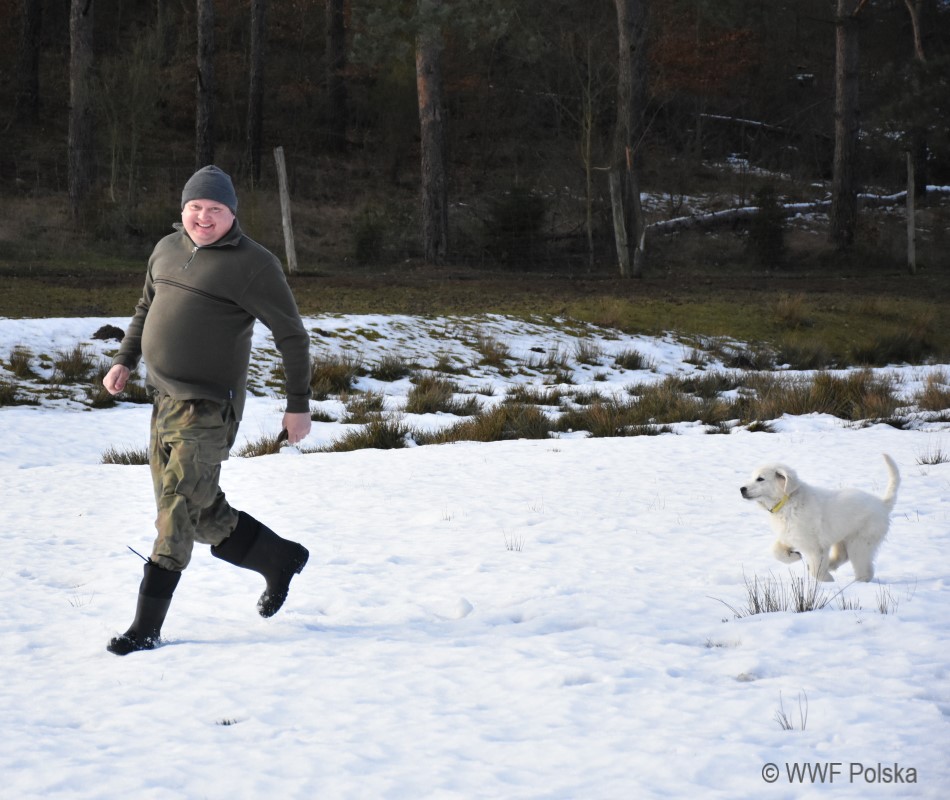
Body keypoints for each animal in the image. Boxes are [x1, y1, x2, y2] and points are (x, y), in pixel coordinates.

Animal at [744, 456, 900, 580]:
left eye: (760, 479)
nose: (742, 489)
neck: (787, 501)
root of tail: (882, 504)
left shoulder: (815, 547)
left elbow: (817, 571)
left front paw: (825, 582)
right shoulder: (790, 536)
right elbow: (775, 551)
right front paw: (794, 556)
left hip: (861, 541)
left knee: (864, 569)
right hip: (843, 538)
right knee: (843, 556)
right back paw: (831, 565)